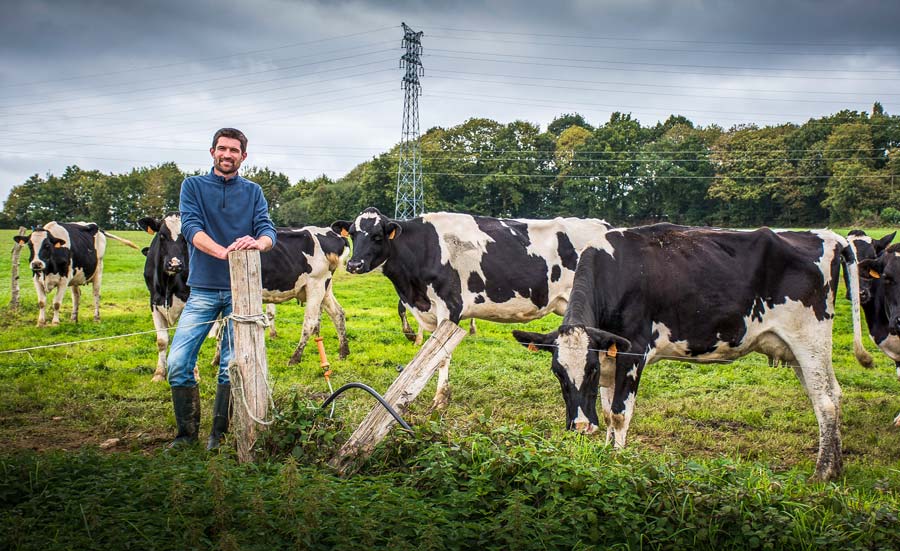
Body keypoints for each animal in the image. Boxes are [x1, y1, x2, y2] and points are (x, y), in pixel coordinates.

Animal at [334, 207, 616, 410]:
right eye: (353, 234)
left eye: (377, 235)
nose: (354, 265)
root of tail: (606, 226)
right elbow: (428, 352)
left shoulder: (449, 306)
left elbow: (441, 355)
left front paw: (440, 399)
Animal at [516, 224, 876, 484]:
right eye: (557, 372)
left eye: (589, 369)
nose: (578, 427)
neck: (614, 273)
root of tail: (829, 237)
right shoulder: (611, 354)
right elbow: (606, 412)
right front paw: (605, 452)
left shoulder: (633, 352)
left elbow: (619, 413)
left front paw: (617, 461)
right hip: (798, 350)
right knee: (830, 395)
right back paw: (835, 468)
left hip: (809, 338)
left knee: (825, 401)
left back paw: (821, 472)